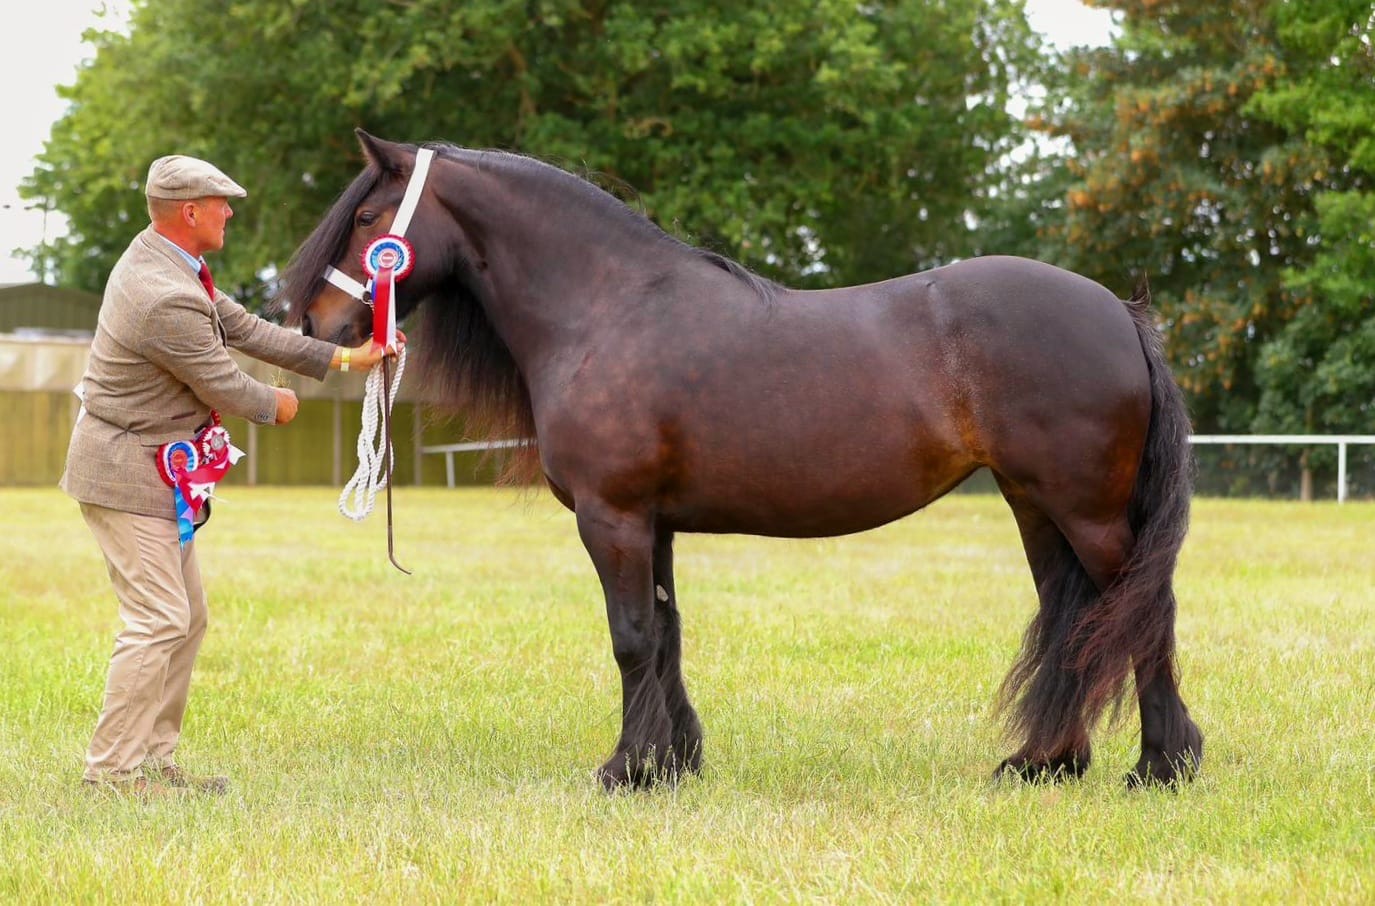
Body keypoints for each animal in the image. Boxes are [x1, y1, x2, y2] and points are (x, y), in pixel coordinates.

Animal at [281, 129, 1203, 790]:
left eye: (366, 220)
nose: (312, 325)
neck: (607, 308)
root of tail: (1119, 311)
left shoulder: (612, 517)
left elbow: (629, 638)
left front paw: (624, 771)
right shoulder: (650, 524)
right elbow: (665, 634)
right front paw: (671, 763)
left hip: (1086, 510)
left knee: (1142, 614)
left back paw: (1160, 767)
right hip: (1033, 505)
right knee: (1075, 621)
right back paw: (1045, 764)